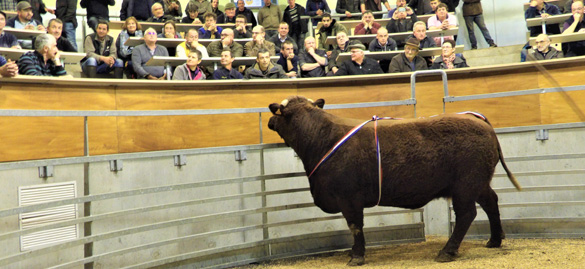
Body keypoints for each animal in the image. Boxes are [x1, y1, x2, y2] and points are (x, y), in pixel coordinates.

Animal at [266, 96, 520, 264]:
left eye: (279, 111)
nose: (269, 119)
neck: (322, 138)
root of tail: (478, 120)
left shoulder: (349, 198)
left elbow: (355, 226)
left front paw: (357, 256)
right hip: (479, 183)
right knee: (491, 202)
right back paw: (495, 240)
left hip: (465, 186)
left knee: (467, 215)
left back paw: (447, 251)